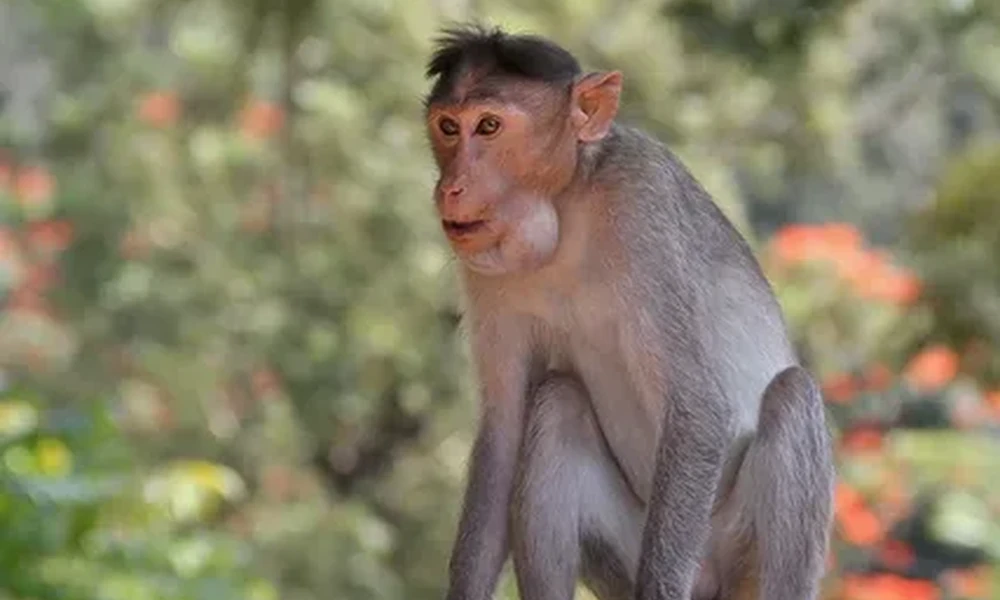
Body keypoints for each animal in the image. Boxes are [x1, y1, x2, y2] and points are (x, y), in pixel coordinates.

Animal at [423, 25, 835, 600]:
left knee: (793, 396)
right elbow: (504, 436)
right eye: (447, 127)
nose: (450, 188)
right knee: (557, 404)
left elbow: (699, 406)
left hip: (731, 554)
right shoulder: (487, 274)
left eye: (488, 125)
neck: (566, 206)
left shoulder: (641, 203)